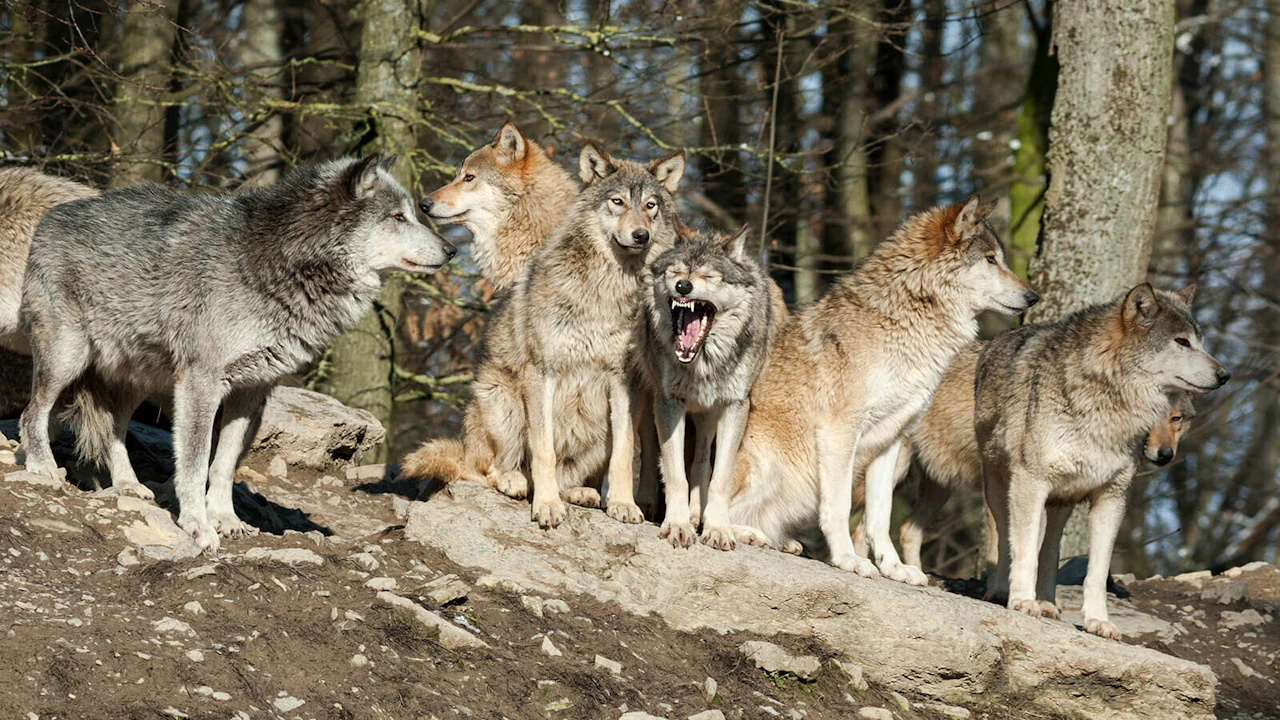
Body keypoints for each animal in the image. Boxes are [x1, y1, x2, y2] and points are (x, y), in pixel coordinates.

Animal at [20, 155, 455, 551]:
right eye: (398, 217)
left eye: (412, 214)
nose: (452, 249)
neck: (281, 262)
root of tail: (52, 215)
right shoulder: (202, 384)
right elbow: (195, 464)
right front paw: (198, 526)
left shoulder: (252, 391)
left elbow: (224, 465)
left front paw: (225, 519)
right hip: (68, 359)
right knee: (32, 412)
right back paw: (43, 467)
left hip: (137, 379)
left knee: (111, 427)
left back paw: (128, 484)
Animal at [403, 144, 685, 528]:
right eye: (617, 202)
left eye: (650, 205)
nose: (641, 235)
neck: (607, 288)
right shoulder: (541, 372)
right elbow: (544, 449)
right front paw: (547, 505)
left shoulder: (624, 381)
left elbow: (625, 453)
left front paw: (623, 504)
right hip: (499, 398)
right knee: (486, 469)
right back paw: (517, 482)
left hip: (597, 429)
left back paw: (581, 493)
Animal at [638, 225, 783, 548]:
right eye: (675, 271)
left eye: (709, 276)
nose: (683, 286)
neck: (701, 363)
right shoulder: (668, 403)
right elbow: (675, 473)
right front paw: (677, 525)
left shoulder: (735, 406)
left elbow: (720, 478)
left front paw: (717, 528)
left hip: (708, 416)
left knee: (702, 462)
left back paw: (703, 517)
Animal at [724, 197, 1038, 584]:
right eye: (991, 259)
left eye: (1002, 259)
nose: (1033, 296)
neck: (905, 321)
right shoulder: (840, 433)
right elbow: (839, 507)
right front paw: (848, 560)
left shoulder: (891, 440)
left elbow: (880, 516)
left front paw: (893, 568)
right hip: (763, 462)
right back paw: (741, 532)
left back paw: (782, 540)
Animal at [975, 283, 1228, 639]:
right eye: (1182, 342)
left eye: (1201, 342)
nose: (1225, 374)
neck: (1109, 403)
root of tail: (997, 339)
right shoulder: (1031, 482)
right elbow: (1023, 553)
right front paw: (1022, 602)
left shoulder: (1112, 497)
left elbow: (1096, 571)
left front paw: (1098, 621)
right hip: (1003, 490)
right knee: (1004, 539)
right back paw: (1002, 592)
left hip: (1061, 502)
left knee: (1050, 548)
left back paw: (1047, 603)